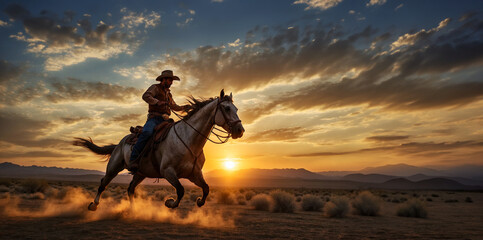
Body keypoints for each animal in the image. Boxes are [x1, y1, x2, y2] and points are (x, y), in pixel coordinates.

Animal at [75, 89, 246, 210]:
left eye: (236, 108)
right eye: (226, 108)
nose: (240, 130)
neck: (188, 140)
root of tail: (120, 142)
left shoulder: (194, 174)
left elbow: (206, 189)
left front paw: (199, 202)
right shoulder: (167, 171)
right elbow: (181, 190)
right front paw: (169, 203)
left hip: (140, 173)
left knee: (130, 189)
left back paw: (133, 210)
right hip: (114, 166)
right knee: (103, 183)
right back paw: (93, 205)